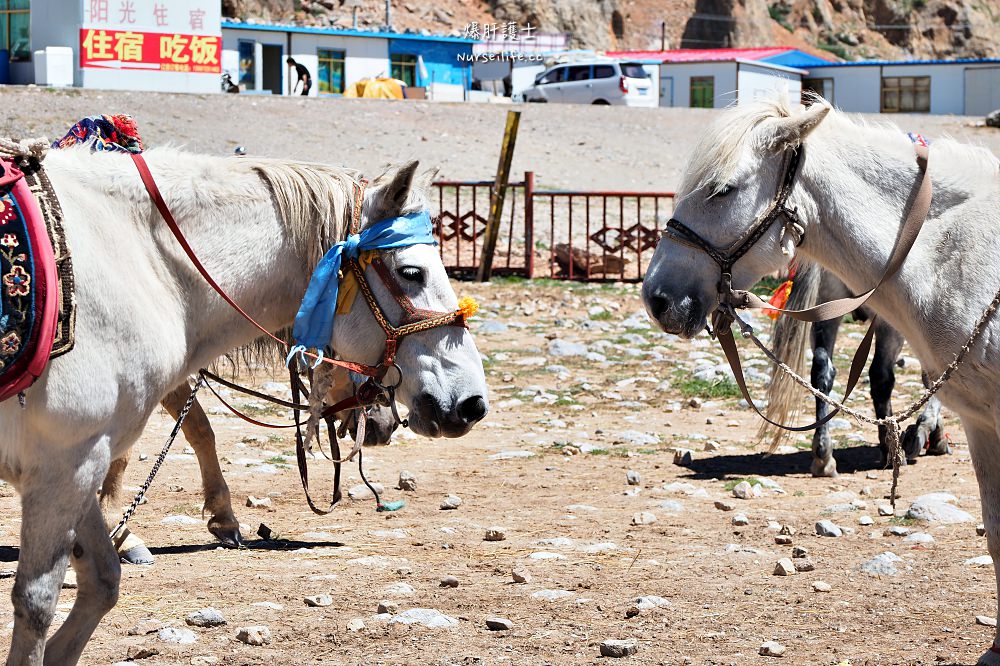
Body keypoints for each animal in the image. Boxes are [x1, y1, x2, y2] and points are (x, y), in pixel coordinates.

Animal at [0, 147, 488, 664]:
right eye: (411, 273)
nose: (470, 403)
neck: (142, 259)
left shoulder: (74, 463)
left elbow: (103, 578)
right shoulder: (65, 461)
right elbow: (38, 599)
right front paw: (217, 519)